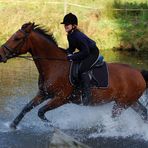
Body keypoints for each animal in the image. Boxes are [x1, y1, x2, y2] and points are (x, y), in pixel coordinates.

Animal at [0, 22, 147, 130]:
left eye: (17, 38)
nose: (1, 55)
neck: (54, 65)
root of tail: (139, 73)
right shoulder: (43, 94)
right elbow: (26, 108)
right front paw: (12, 125)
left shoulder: (61, 98)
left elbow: (40, 112)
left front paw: (54, 125)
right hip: (131, 102)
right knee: (144, 114)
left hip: (121, 104)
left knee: (114, 118)